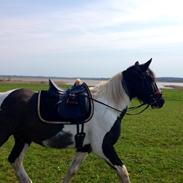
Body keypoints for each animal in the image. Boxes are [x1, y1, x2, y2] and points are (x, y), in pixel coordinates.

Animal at [0, 59, 164, 183]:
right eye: (148, 78)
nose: (160, 101)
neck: (108, 106)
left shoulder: (85, 147)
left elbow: (72, 171)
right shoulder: (103, 147)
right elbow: (123, 172)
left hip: (23, 139)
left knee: (15, 161)